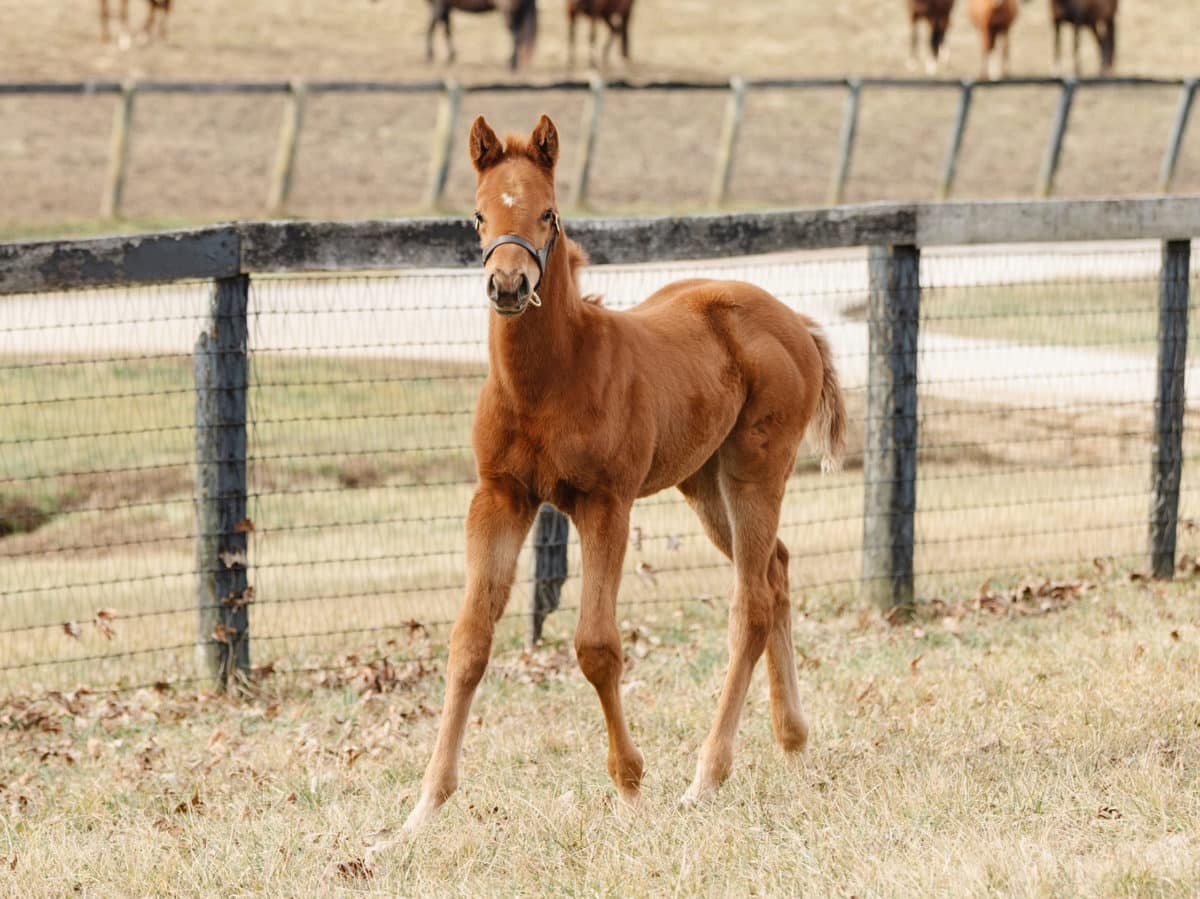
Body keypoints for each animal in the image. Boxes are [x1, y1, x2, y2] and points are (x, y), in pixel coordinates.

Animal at [400, 115, 844, 830]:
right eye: (478, 215)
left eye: (548, 214)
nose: (508, 286)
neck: (551, 378)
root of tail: (796, 322)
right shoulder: (499, 498)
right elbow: (469, 641)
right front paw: (422, 809)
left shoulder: (605, 504)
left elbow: (596, 646)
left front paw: (631, 789)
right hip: (702, 482)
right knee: (775, 571)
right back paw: (794, 745)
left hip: (754, 470)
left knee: (750, 601)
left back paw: (706, 777)